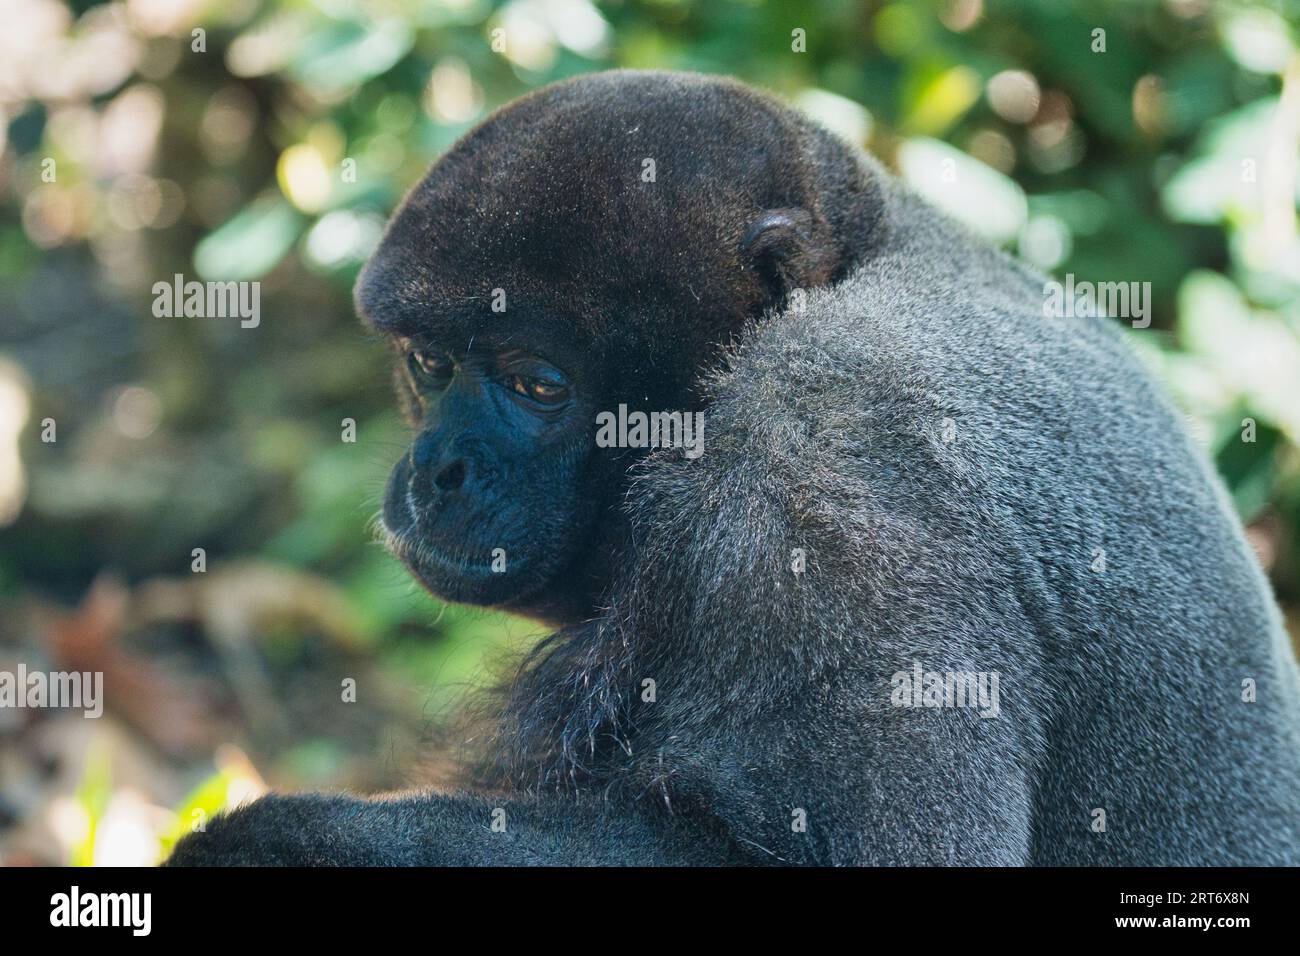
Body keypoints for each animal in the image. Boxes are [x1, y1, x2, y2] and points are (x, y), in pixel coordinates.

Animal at [168, 70, 1300, 866]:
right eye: (429, 365)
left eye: (536, 383)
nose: (433, 469)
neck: (856, 255)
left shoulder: (826, 490)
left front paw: (258, 840)